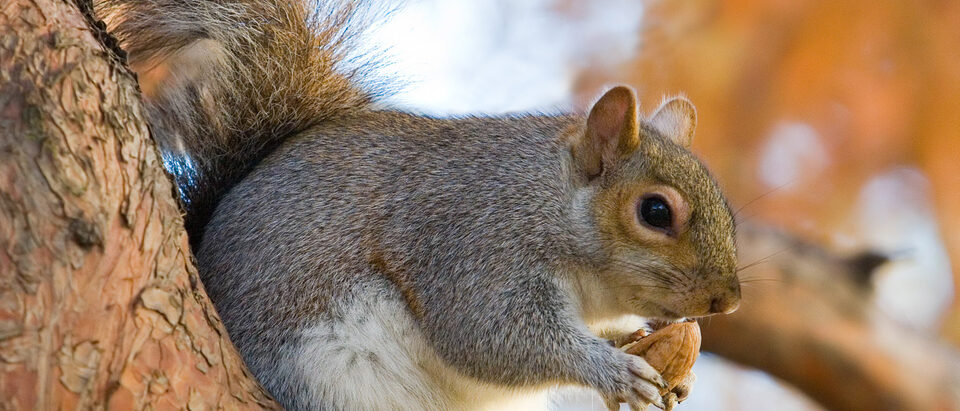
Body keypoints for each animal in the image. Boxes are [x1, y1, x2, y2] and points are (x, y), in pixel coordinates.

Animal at [96, 0, 741, 409]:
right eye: (655, 212)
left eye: (730, 214)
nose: (728, 301)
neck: (548, 203)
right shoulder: (472, 242)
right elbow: (490, 335)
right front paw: (612, 371)